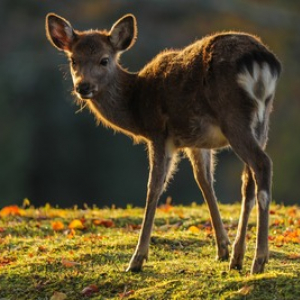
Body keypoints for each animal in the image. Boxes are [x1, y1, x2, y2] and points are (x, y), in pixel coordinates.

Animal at [45, 12, 280, 274]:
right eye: (73, 60)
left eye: (104, 60)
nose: (82, 86)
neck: (136, 105)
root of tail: (261, 61)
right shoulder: (195, 142)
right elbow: (205, 182)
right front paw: (222, 249)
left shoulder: (159, 133)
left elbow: (154, 187)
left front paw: (137, 259)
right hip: (262, 121)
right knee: (248, 180)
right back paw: (238, 256)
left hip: (233, 116)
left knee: (262, 164)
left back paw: (259, 260)